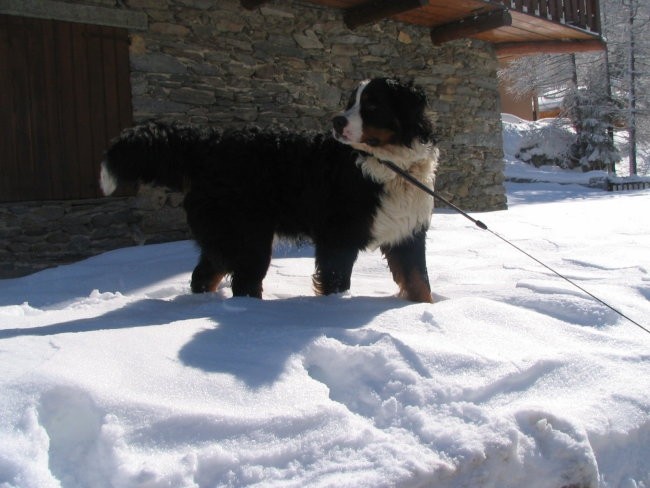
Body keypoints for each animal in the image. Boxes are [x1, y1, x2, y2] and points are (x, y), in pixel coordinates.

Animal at [100, 77, 436, 302]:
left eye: (372, 105)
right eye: (350, 102)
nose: (336, 121)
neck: (388, 166)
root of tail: (210, 144)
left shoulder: (408, 233)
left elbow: (420, 282)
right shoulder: (337, 238)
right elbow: (336, 282)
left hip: (227, 238)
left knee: (204, 275)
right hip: (248, 239)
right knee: (243, 284)